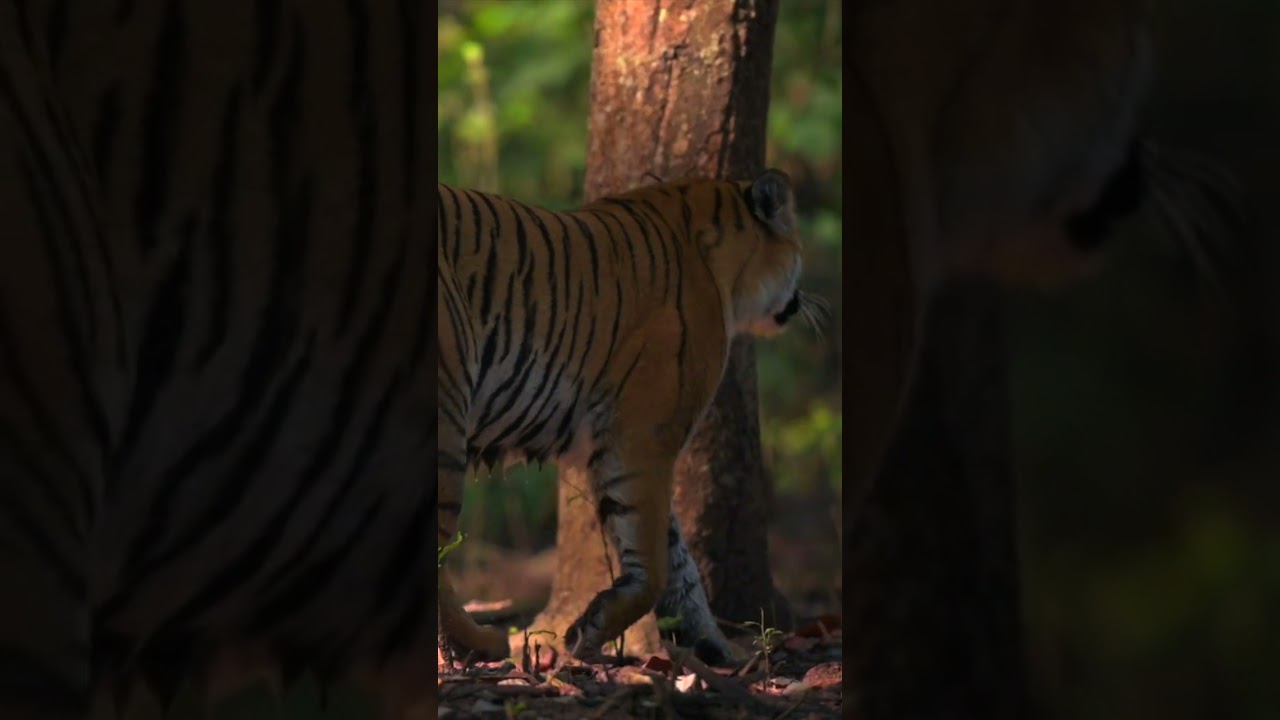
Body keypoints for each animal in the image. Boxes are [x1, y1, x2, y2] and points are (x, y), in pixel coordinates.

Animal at [436, 170, 827, 668]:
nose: (802, 301)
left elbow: (680, 565)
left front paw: (717, 649)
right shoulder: (641, 436)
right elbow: (655, 561)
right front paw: (590, 629)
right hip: (449, 411)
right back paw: (481, 644)